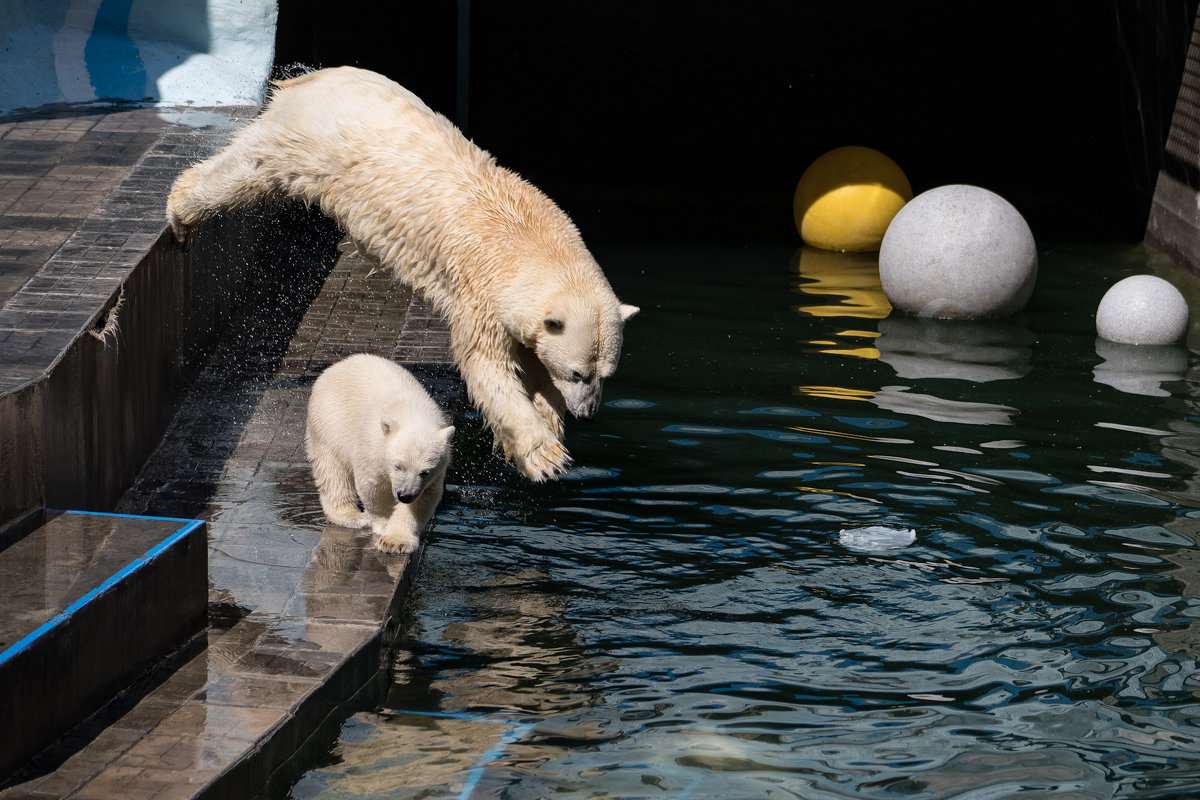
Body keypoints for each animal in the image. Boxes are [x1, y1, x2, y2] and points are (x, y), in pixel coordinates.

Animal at [169, 67, 643, 482]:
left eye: (605, 375)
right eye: (579, 374)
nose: (589, 413)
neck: (525, 237)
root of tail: (313, 79)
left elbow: (531, 358)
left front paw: (550, 415)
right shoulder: (480, 296)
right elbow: (489, 372)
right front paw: (545, 457)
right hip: (307, 145)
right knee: (244, 172)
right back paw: (181, 214)